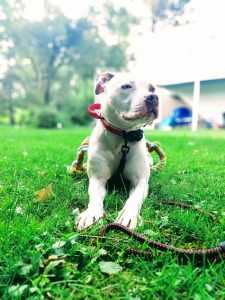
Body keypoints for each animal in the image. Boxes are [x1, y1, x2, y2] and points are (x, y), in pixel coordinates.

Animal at [76, 72, 159, 230]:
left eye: (152, 89)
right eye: (126, 86)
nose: (154, 97)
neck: (123, 136)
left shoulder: (141, 181)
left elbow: (134, 198)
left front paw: (129, 215)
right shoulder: (97, 179)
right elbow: (94, 196)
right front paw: (91, 214)